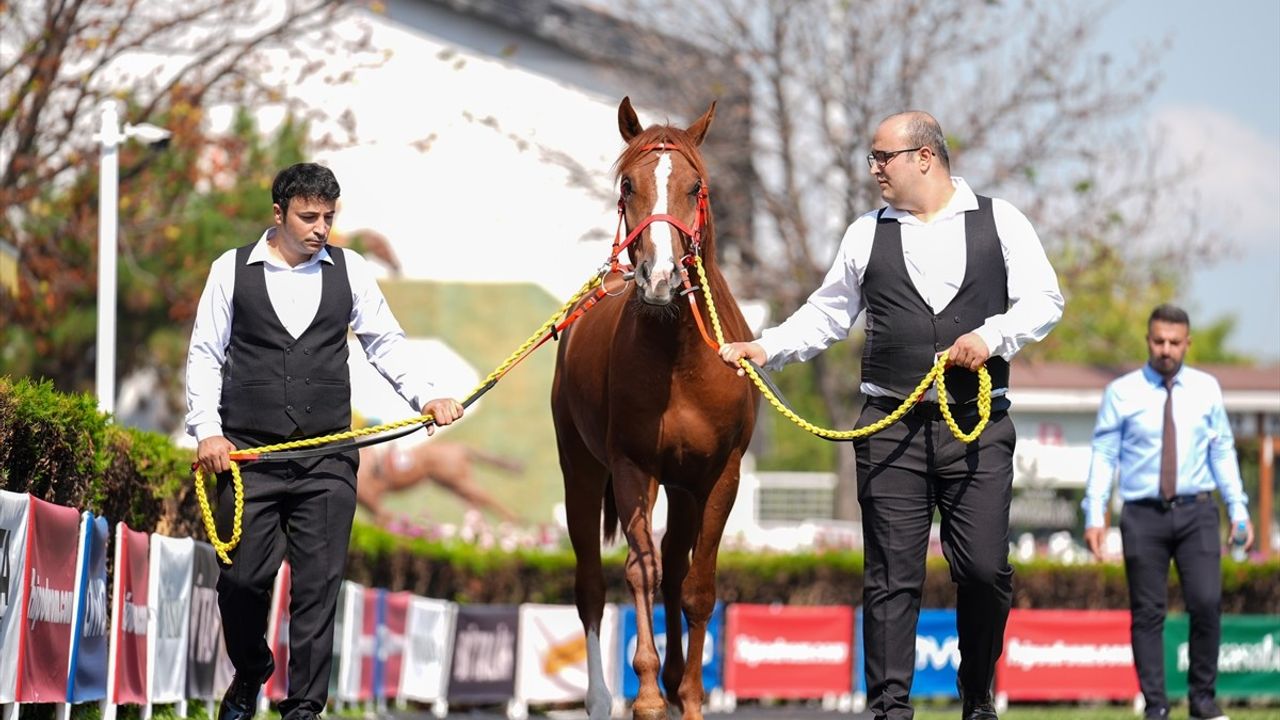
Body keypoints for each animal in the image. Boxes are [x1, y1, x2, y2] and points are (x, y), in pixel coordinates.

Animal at [552, 96, 752, 717]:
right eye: (627, 185)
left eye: (696, 186)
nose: (660, 277)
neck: (680, 359)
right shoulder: (631, 467)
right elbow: (640, 571)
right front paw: (645, 694)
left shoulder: (720, 475)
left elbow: (697, 587)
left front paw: (688, 695)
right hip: (581, 472)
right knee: (592, 585)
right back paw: (602, 696)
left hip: (684, 487)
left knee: (677, 568)